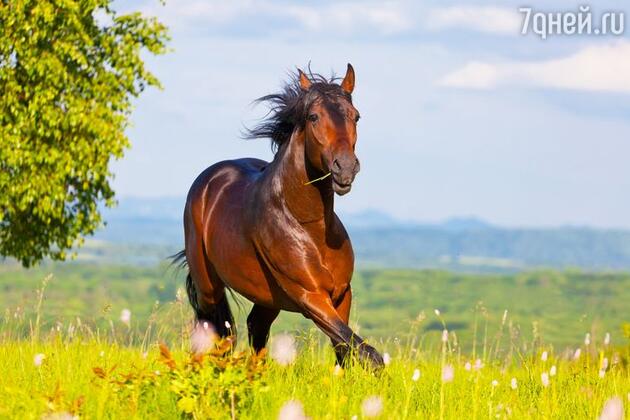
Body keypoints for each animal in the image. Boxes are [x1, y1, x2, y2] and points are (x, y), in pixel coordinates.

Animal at [172, 64, 386, 370]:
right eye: (313, 117)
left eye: (355, 116)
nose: (345, 168)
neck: (310, 226)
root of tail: (209, 179)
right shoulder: (310, 296)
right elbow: (366, 351)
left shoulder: (342, 294)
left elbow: (346, 348)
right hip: (208, 287)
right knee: (212, 330)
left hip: (267, 298)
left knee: (255, 327)